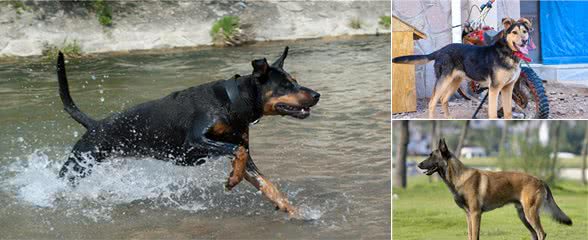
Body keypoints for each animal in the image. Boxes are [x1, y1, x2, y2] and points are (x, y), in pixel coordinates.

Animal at [57, 47, 320, 218]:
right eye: (285, 85)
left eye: (295, 80)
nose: (317, 94)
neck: (231, 104)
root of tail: (94, 124)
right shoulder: (192, 143)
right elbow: (238, 150)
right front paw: (232, 180)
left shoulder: (244, 155)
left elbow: (267, 184)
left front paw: (294, 210)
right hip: (77, 164)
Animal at [390, 19, 532, 119]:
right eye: (514, 32)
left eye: (524, 32)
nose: (524, 41)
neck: (509, 53)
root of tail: (440, 51)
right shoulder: (494, 88)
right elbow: (493, 114)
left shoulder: (508, 88)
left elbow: (508, 113)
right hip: (443, 81)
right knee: (432, 102)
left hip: (455, 81)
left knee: (444, 99)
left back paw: (448, 118)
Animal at [418, 139, 576, 240]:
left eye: (431, 155)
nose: (418, 164)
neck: (459, 177)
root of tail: (540, 180)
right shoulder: (468, 215)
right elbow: (470, 235)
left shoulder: (475, 214)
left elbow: (475, 236)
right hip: (523, 215)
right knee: (535, 234)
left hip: (530, 214)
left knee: (541, 233)